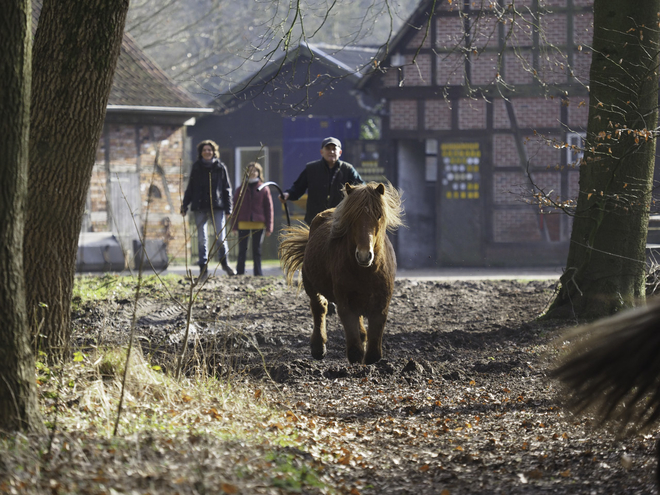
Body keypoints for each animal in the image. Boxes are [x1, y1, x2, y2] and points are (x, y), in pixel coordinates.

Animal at [278, 182, 402, 364]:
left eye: (379, 215)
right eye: (351, 218)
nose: (364, 255)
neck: (366, 271)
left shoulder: (381, 304)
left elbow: (374, 347)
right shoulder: (345, 303)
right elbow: (354, 345)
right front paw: (356, 356)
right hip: (310, 284)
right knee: (319, 308)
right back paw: (318, 347)